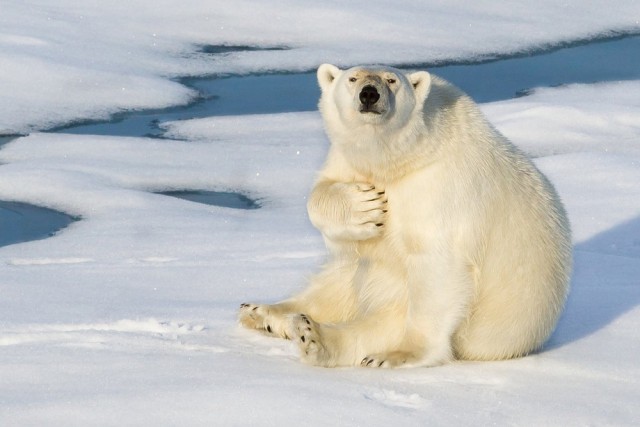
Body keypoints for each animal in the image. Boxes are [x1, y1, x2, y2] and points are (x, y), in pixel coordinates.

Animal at [238, 62, 572, 368]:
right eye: (353, 78)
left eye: (391, 80)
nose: (369, 94)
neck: (400, 158)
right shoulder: (347, 161)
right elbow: (322, 194)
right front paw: (365, 206)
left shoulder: (437, 189)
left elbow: (437, 264)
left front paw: (403, 352)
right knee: (339, 280)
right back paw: (264, 312)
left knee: (385, 321)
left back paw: (317, 337)